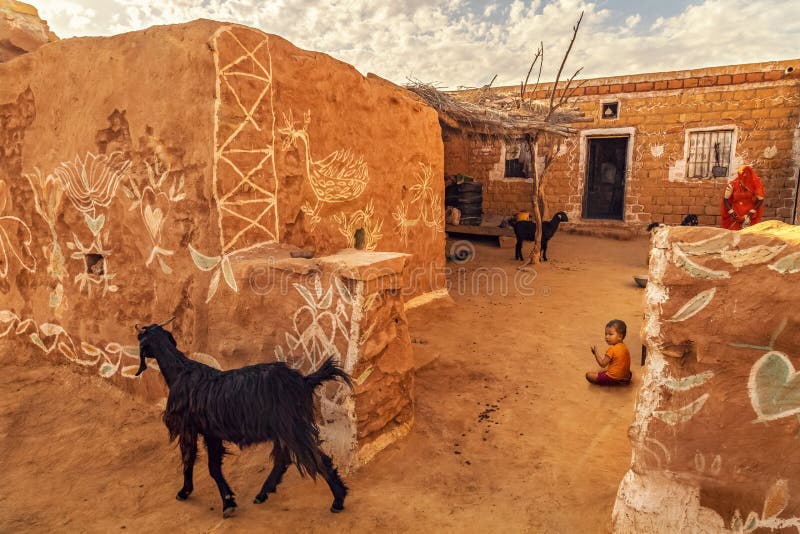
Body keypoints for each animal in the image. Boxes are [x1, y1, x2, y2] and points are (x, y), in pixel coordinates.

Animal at [136, 322, 352, 520]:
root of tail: (304, 381)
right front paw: (227, 500)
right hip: (284, 428)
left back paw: (338, 499)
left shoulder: (188, 428)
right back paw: (263, 493)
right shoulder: (211, 433)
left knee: (317, 458)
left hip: (293, 426)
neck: (180, 371)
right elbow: (212, 467)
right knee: (284, 459)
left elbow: (192, 460)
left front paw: (192, 493)